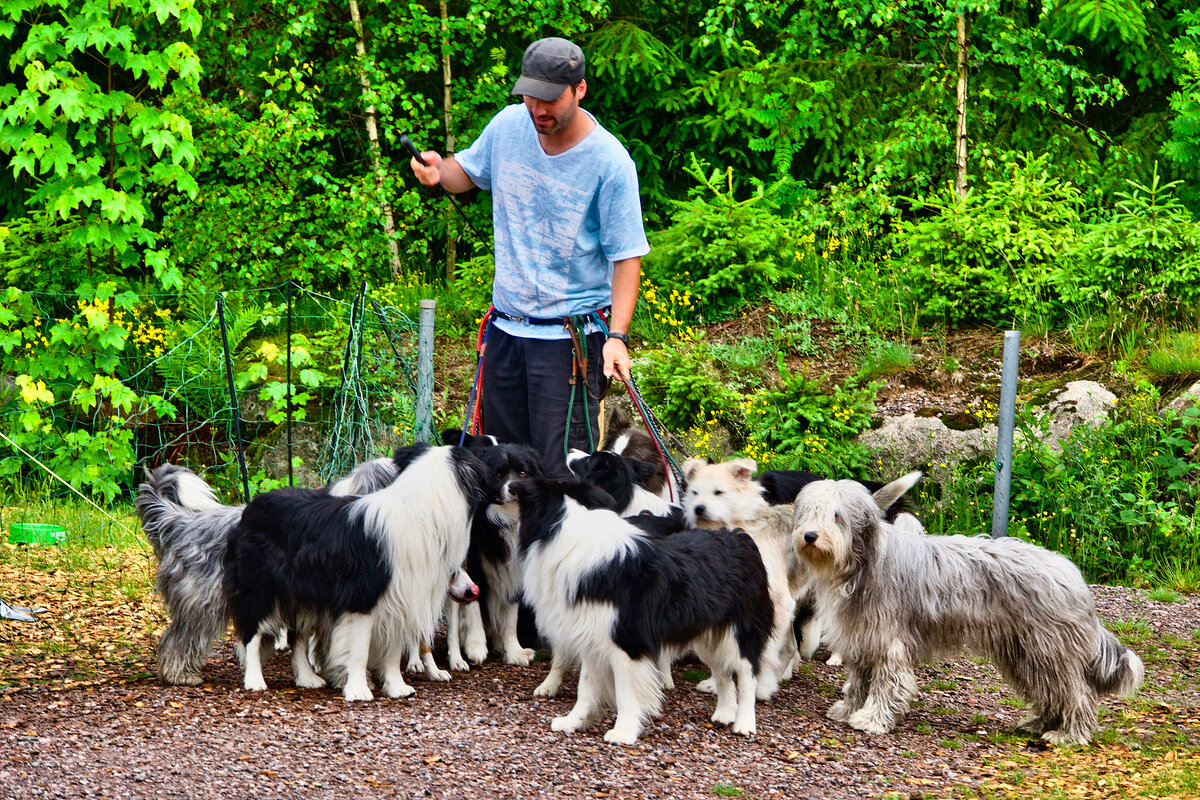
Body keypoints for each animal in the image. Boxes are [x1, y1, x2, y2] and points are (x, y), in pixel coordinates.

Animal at [223, 443, 489, 700]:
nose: (473, 590)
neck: (419, 512)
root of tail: (251, 507)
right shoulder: (362, 598)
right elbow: (359, 649)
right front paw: (358, 690)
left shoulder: (401, 599)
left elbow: (393, 652)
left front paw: (396, 687)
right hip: (261, 588)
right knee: (252, 633)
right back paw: (254, 680)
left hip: (306, 595)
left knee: (297, 637)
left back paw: (306, 678)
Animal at [504, 474, 768, 743]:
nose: (509, 486)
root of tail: (736, 536)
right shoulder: (592, 639)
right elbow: (585, 687)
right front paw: (573, 721)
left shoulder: (627, 643)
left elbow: (625, 693)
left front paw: (623, 732)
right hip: (707, 635)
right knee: (723, 672)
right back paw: (725, 713)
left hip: (741, 632)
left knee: (747, 676)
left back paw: (744, 723)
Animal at [792, 474, 1147, 743]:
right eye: (809, 512)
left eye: (836, 516)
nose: (809, 536)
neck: (861, 563)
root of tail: (1072, 575)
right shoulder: (863, 637)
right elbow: (858, 682)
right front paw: (848, 709)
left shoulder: (888, 642)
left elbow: (888, 684)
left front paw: (873, 719)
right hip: (1026, 654)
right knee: (1050, 693)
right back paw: (1039, 724)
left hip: (1048, 651)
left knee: (1077, 694)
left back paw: (1069, 734)